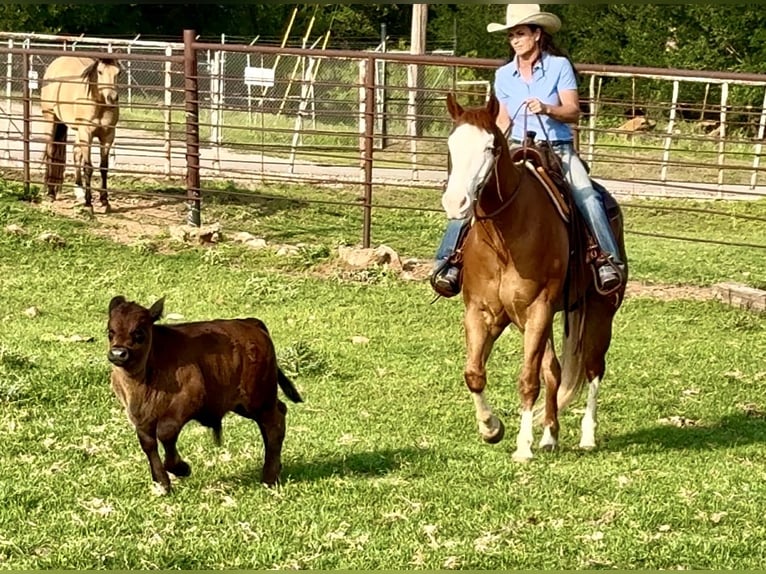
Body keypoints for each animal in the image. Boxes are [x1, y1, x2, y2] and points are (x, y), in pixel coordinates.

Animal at [40, 55, 121, 212]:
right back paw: (50, 192)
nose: (112, 97)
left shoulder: (108, 136)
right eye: (100, 72)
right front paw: (89, 203)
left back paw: (79, 193)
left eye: (118, 72)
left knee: (76, 154)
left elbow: (103, 167)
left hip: (76, 130)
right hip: (51, 119)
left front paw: (104, 201)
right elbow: (88, 167)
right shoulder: (86, 133)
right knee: (51, 151)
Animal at [440, 92, 628, 461]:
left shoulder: (538, 308)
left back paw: (586, 436)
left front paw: (523, 446)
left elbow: (528, 379)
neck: (504, 237)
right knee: (554, 369)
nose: (456, 202)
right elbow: (474, 373)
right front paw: (491, 428)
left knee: (593, 369)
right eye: (452, 145)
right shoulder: (484, 312)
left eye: (490, 147)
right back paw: (550, 435)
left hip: (600, 311)